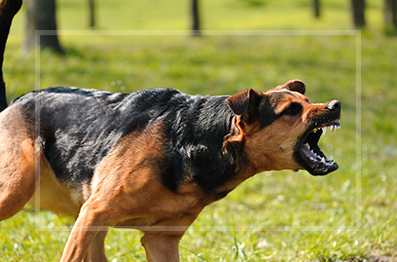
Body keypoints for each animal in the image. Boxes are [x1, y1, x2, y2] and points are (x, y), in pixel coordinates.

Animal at [0, 80, 340, 262]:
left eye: (307, 100)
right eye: (291, 110)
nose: (335, 105)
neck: (198, 141)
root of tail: (14, 101)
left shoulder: (161, 241)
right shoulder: (96, 212)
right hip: (18, 191)